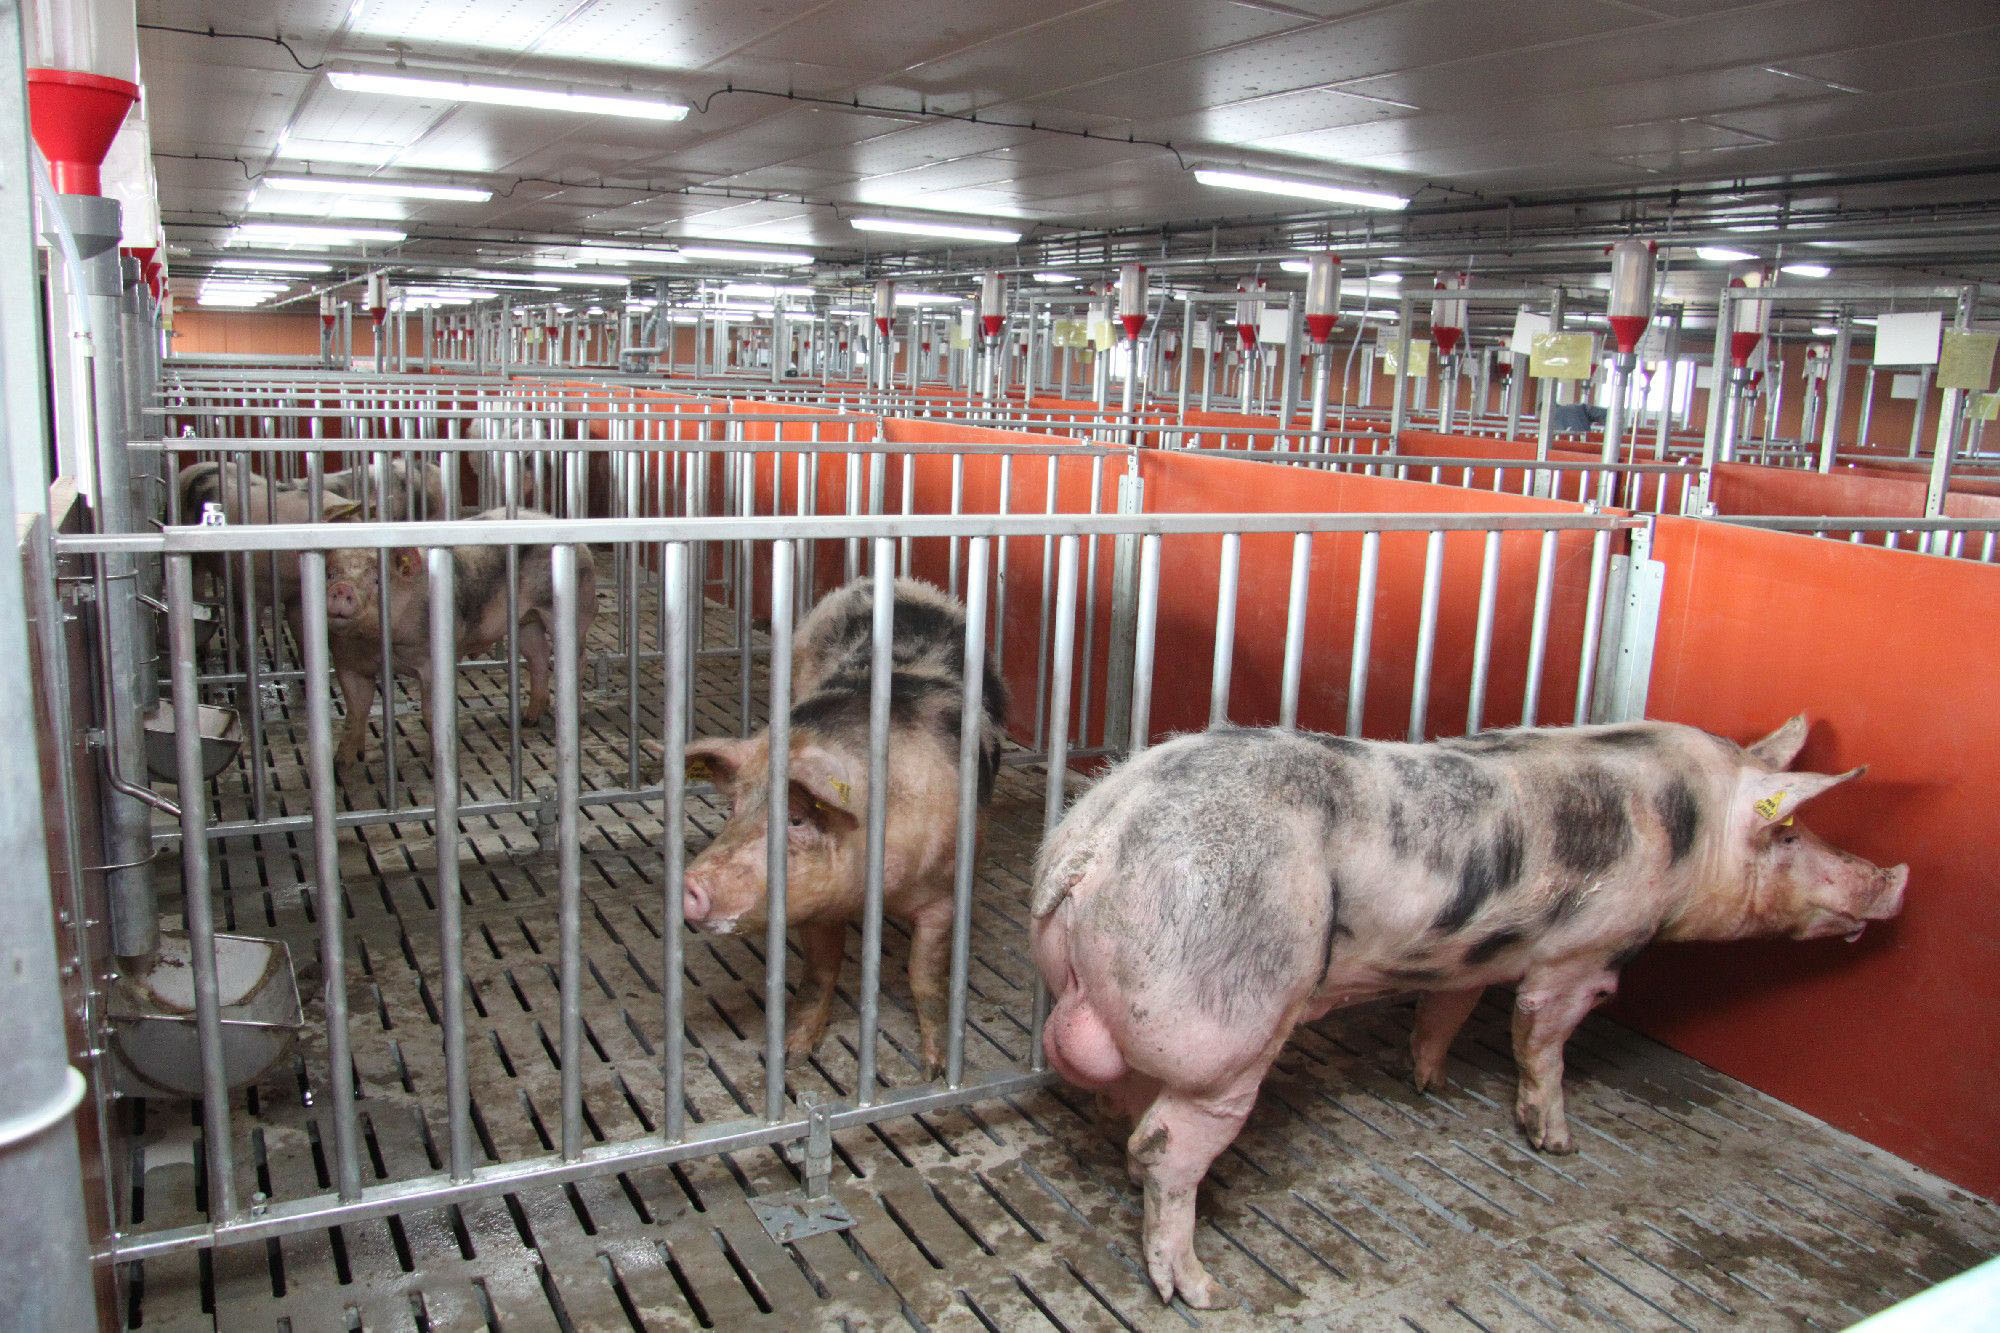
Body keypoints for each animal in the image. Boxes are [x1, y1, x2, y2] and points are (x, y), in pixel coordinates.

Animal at [324, 506, 592, 756]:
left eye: (378, 580)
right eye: (331, 574)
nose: (341, 588)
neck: (377, 642)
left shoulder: (431, 659)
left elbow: (431, 713)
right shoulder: (347, 661)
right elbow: (355, 711)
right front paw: (342, 764)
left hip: (571, 607)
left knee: (576, 659)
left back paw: (572, 716)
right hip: (524, 621)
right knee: (538, 655)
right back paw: (528, 720)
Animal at [680, 576, 1008, 1072]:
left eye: (797, 818)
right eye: (734, 807)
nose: (690, 882)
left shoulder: (945, 891)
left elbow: (925, 975)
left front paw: (935, 1067)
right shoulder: (815, 900)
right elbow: (820, 971)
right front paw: (791, 1055)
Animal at [1032, 712, 1904, 1304]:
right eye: (1787, 834)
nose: (1892, 880)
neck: (1684, 825)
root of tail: (1094, 843)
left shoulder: (1472, 953)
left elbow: (1449, 1006)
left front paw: (1430, 1082)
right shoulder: (1584, 955)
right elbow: (1542, 1037)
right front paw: (1555, 1141)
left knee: (1129, 1104)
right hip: (1227, 1024)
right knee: (1165, 1147)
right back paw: (1199, 1287)